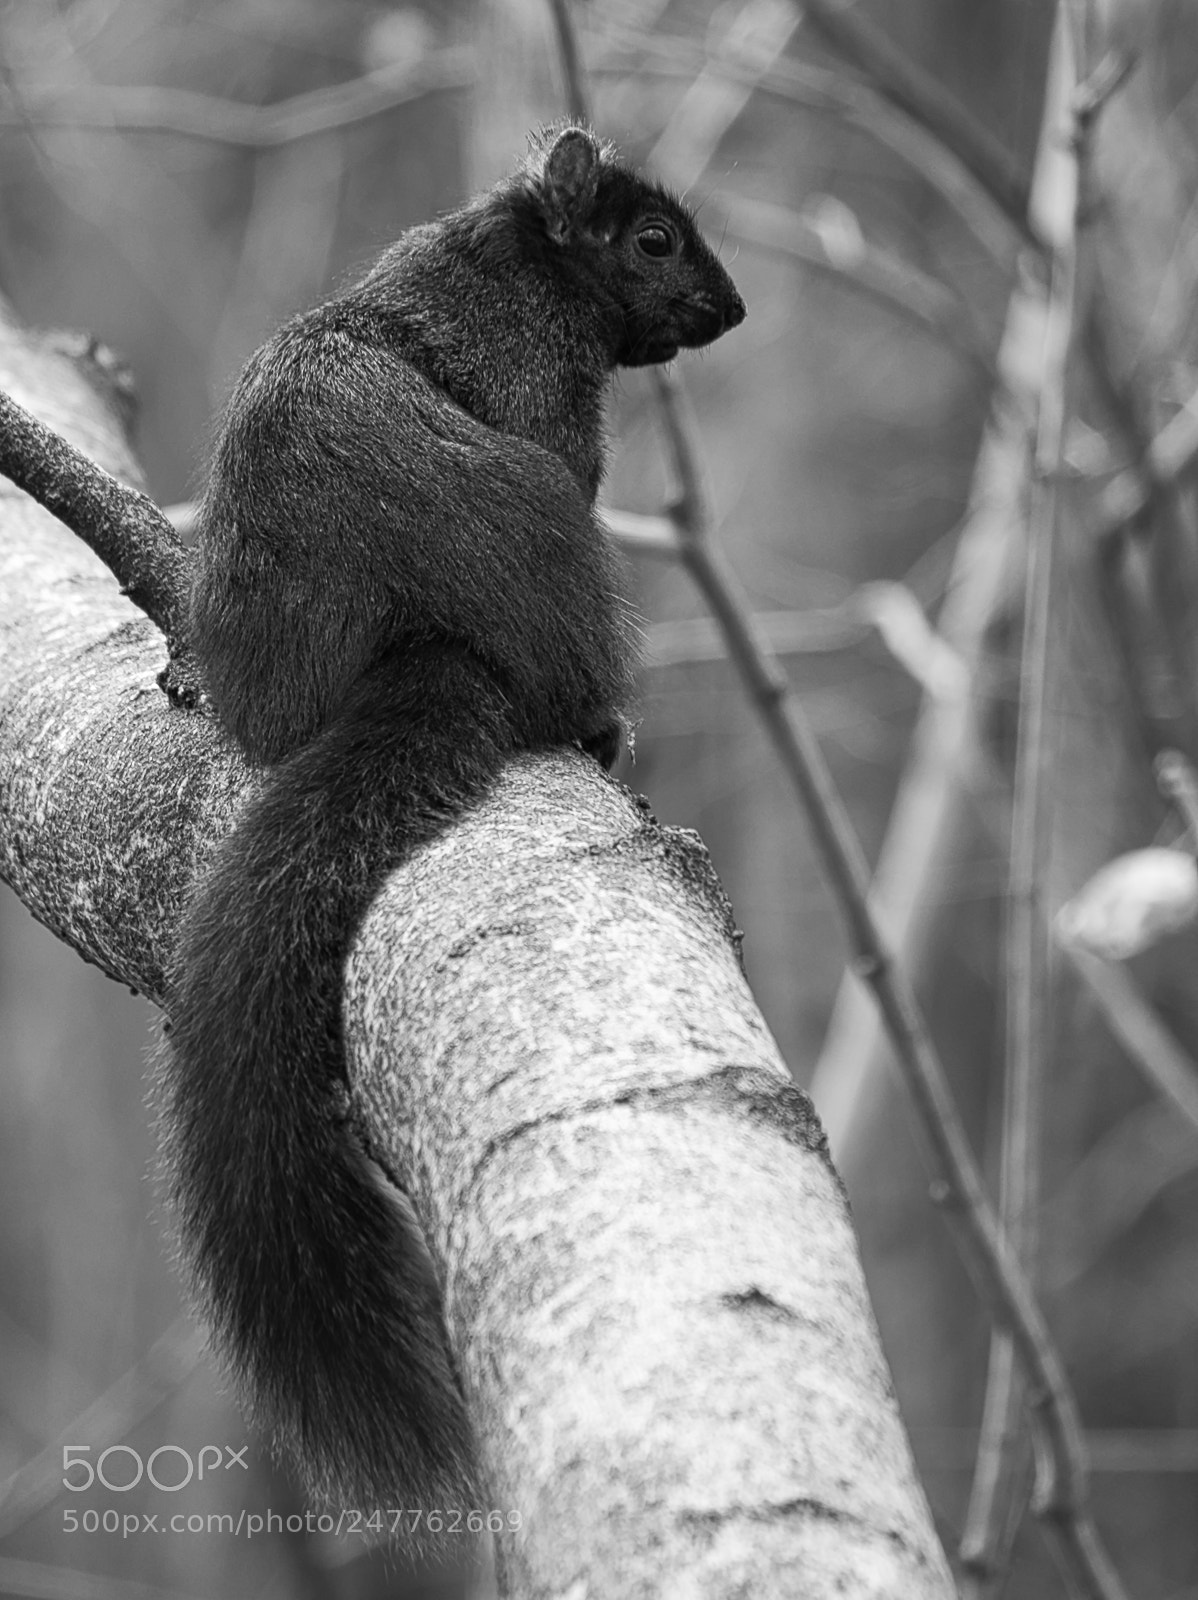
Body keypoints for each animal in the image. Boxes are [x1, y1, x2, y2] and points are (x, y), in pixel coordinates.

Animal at [157, 125, 745, 1560]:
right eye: (652, 241)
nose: (729, 309)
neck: (514, 252)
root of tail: (405, 645)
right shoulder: (542, 393)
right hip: (555, 541)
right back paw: (596, 724)